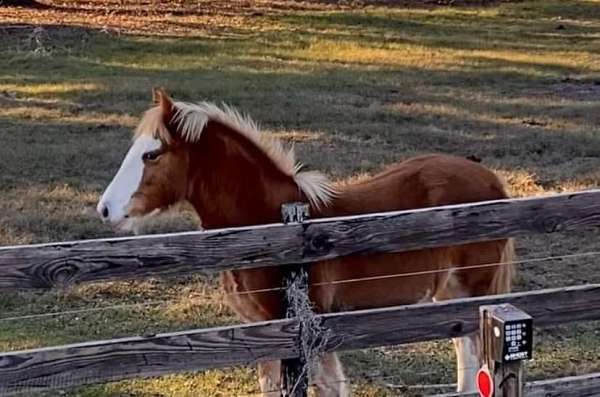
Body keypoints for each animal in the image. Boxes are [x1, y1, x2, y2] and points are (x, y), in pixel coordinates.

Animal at [97, 89, 510, 396]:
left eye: (152, 154)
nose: (105, 209)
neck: (267, 222)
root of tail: (493, 181)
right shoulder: (259, 332)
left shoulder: (302, 329)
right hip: (447, 296)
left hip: (473, 291)